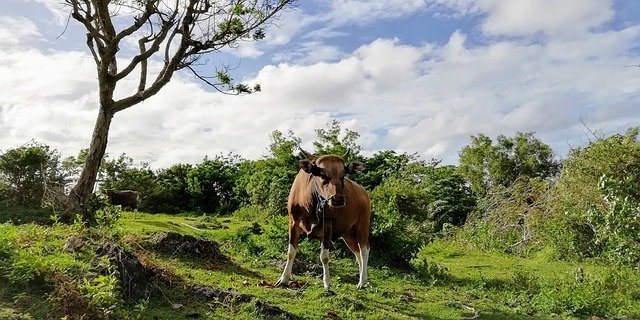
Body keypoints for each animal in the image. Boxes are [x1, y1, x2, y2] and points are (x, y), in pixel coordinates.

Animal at [274, 150, 370, 290]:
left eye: (343, 175)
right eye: (322, 174)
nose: (338, 199)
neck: (310, 203)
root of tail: (364, 193)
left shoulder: (327, 225)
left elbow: (324, 256)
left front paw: (327, 283)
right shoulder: (293, 222)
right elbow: (291, 252)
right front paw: (284, 279)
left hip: (362, 226)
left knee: (364, 250)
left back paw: (362, 282)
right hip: (348, 233)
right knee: (357, 252)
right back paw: (364, 278)